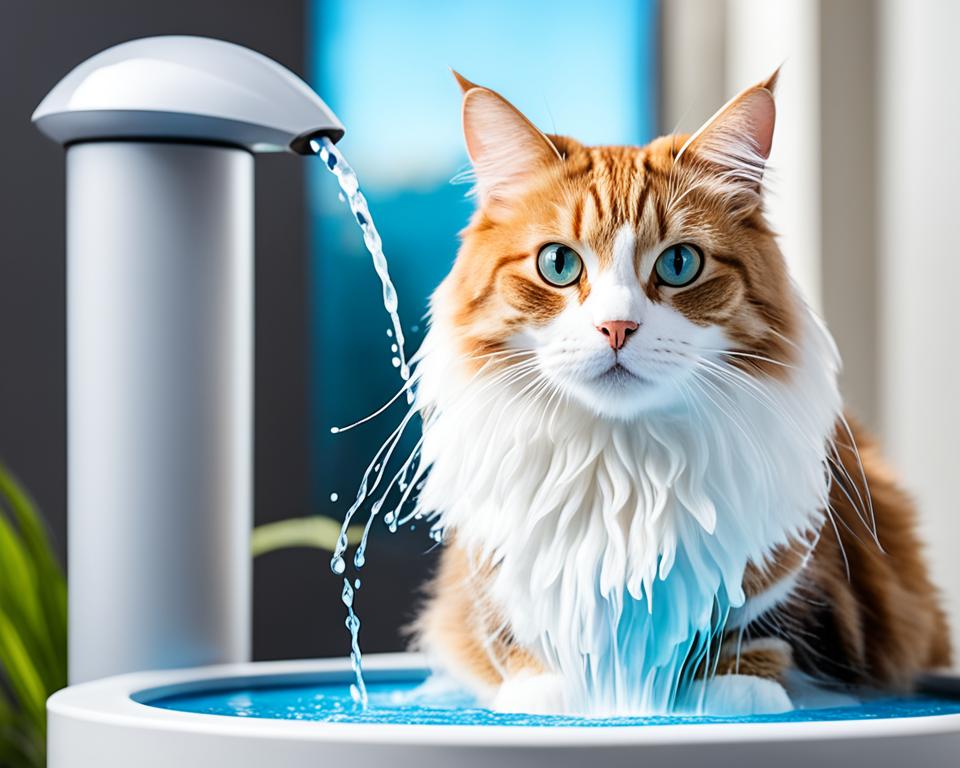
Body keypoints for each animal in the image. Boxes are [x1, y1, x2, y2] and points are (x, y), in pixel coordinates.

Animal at [408, 69, 948, 716]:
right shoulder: (488, 565)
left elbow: (759, 626)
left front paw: (732, 687)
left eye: (679, 264)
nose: (617, 328)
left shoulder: (809, 566)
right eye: (558, 263)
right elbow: (510, 629)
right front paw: (549, 685)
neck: (622, 466)